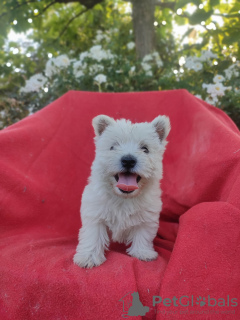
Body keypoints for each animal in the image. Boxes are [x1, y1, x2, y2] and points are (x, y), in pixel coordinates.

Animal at [74, 114, 170, 268]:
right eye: (113, 147)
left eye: (145, 149)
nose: (128, 160)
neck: (123, 198)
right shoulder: (95, 214)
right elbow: (93, 235)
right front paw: (89, 257)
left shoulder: (147, 217)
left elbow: (143, 234)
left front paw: (142, 252)